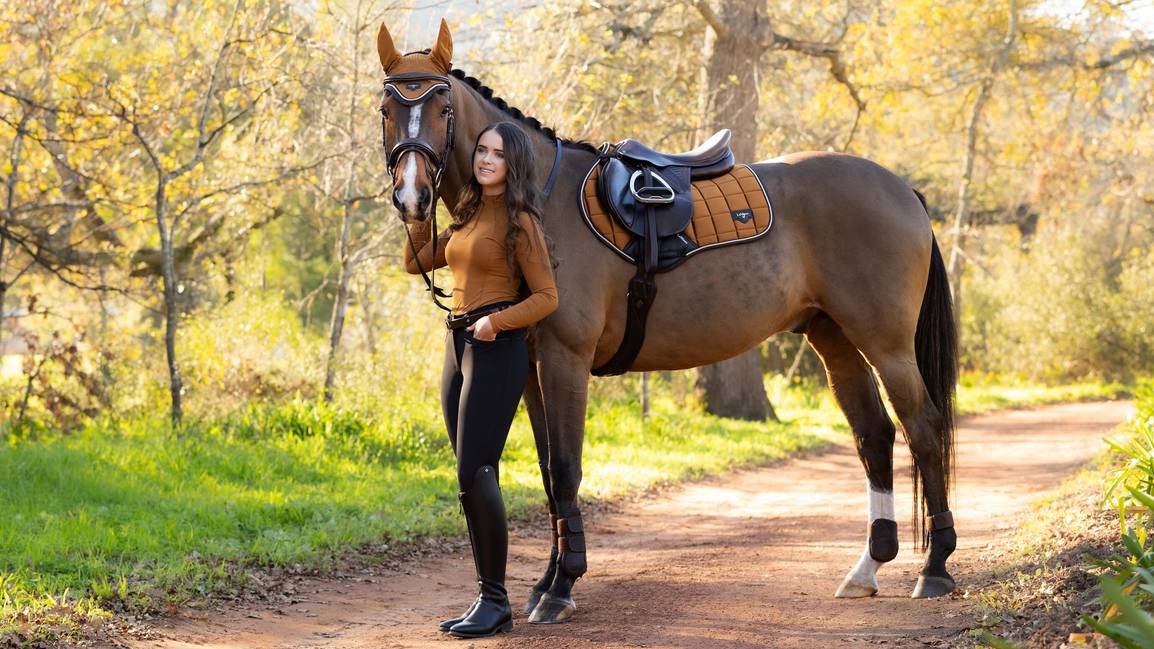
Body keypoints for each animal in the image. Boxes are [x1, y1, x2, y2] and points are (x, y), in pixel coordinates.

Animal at [377, 20, 958, 624]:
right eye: (386, 107)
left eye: (443, 105)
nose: (413, 196)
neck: (536, 200)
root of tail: (901, 188)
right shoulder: (531, 363)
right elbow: (546, 473)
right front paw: (545, 584)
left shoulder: (565, 359)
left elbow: (565, 468)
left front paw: (561, 587)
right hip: (835, 338)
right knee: (875, 435)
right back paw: (869, 566)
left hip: (887, 343)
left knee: (923, 429)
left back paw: (935, 567)